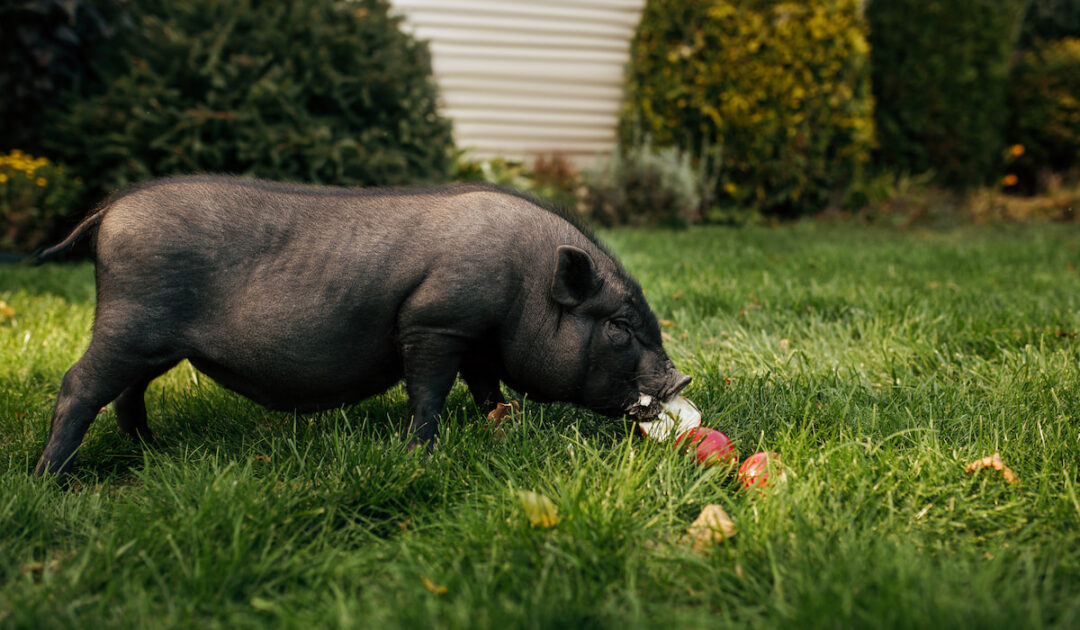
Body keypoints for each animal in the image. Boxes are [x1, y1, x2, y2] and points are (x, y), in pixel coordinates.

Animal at [33, 176, 691, 475]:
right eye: (621, 326)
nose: (681, 380)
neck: (525, 282)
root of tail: (109, 211)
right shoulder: (436, 322)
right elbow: (428, 393)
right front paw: (419, 454)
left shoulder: (477, 340)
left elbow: (487, 388)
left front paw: (505, 429)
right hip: (130, 322)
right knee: (79, 385)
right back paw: (50, 479)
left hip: (153, 342)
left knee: (128, 392)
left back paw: (153, 449)